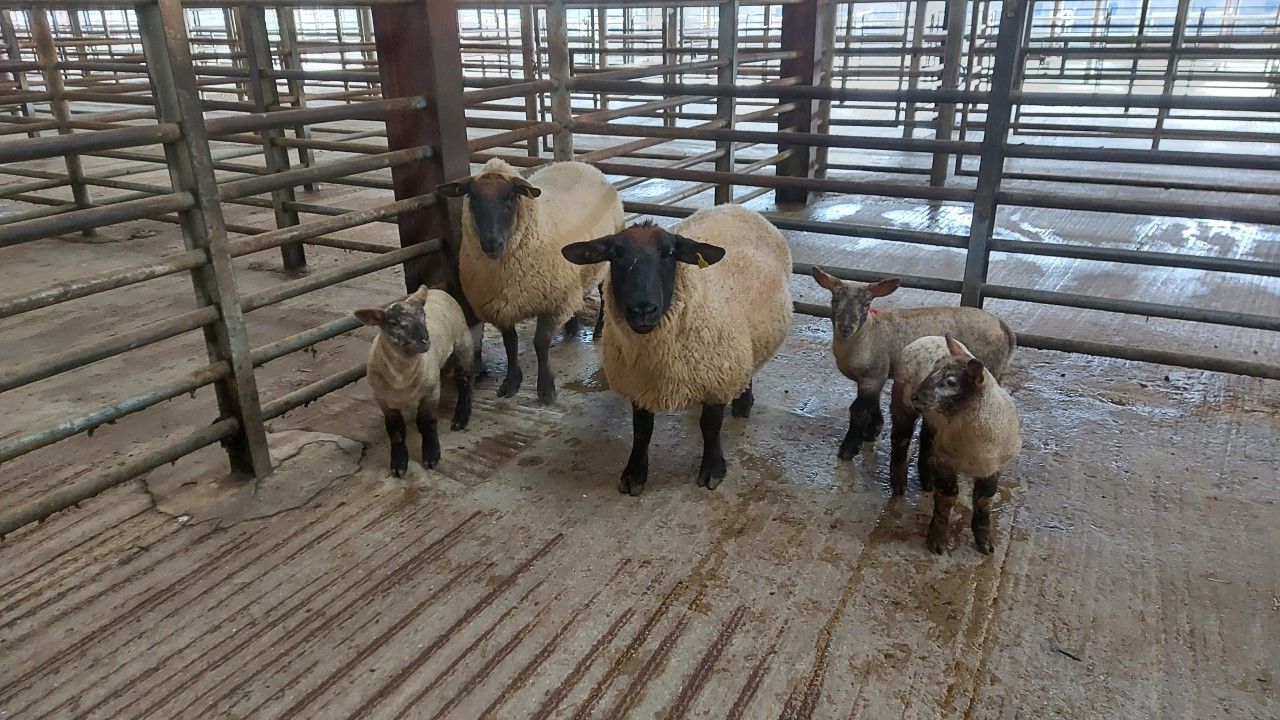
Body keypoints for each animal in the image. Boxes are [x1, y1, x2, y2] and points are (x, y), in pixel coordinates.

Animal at [354, 285, 473, 478]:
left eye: (423, 316)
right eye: (394, 323)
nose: (424, 340)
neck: (402, 377)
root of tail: (437, 289)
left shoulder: (431, 392)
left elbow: (427, 424)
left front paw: (431, 456)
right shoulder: (383, 401)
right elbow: (394, 430)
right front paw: (398, 464)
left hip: (463, 344)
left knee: (465, 382)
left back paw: (460, 417)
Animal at [438, 157, 623, 404]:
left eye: (510, 197)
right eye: (473, 198)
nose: (492, 244)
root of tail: (579, 163)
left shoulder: (553, 302)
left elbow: (540, 343)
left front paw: (546, 389)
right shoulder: (500, 308)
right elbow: (511, 344)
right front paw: (511, 382)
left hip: (603, 260)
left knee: (603, 293)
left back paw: (599, 329)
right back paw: (572, 327)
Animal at [561, 205, 793, 496]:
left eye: (669, 253)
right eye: (615, 255)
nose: (643, 310)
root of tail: (734, 207)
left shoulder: (717, 375)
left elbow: (710, 427)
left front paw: (712, 469)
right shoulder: (639, 384)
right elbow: (642, 430)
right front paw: (634, 474)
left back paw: (743, 402)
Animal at [809, 266, 1016, 460]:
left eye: (866, 304)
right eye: (834, 299)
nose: (845, 327)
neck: (866, 334)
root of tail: (1003, 326)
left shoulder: (872, 375)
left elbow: (859, 410)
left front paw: (849, 448)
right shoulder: (875, 376)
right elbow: (873, 405)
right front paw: (874, 430)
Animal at [890, 334, 1022, 554]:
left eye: (951, 382)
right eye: (933, 368)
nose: (915, 396)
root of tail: (926, 337)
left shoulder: (993, 467)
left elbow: (984, 501)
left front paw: (984, 542)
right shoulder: (946, 461)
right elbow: (948, 497)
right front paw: (937, 540)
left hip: (932, 421)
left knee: (926, 437)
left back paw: (927, 480)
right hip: (901, 399)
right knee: (900, 438)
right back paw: (899, 483)